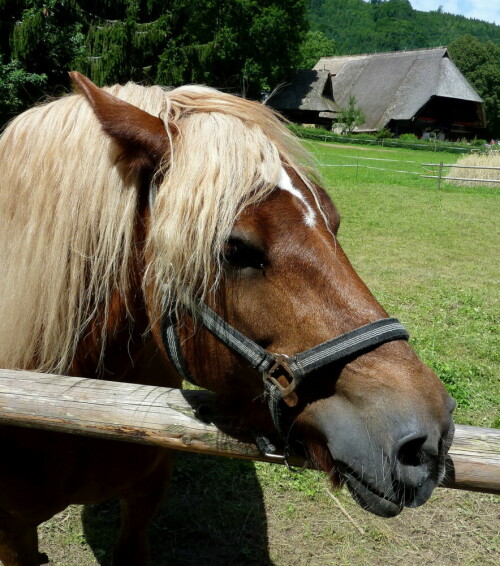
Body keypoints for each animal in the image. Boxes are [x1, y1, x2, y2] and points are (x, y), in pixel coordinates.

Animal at [0, 72, 454, 566]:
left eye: (334, 223)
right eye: (236, 250)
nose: (427, 435)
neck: (73, 401)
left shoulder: (144, 499)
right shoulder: (14, 531)